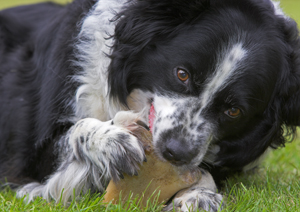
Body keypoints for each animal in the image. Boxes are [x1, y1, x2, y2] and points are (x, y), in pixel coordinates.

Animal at [0, 0, 300, 211]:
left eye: (234, 111)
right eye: (182, 74)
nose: (175, 153)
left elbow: (205, 169)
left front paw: (199, 195)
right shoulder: (31, 157)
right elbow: (76, 132)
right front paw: (111, 142)